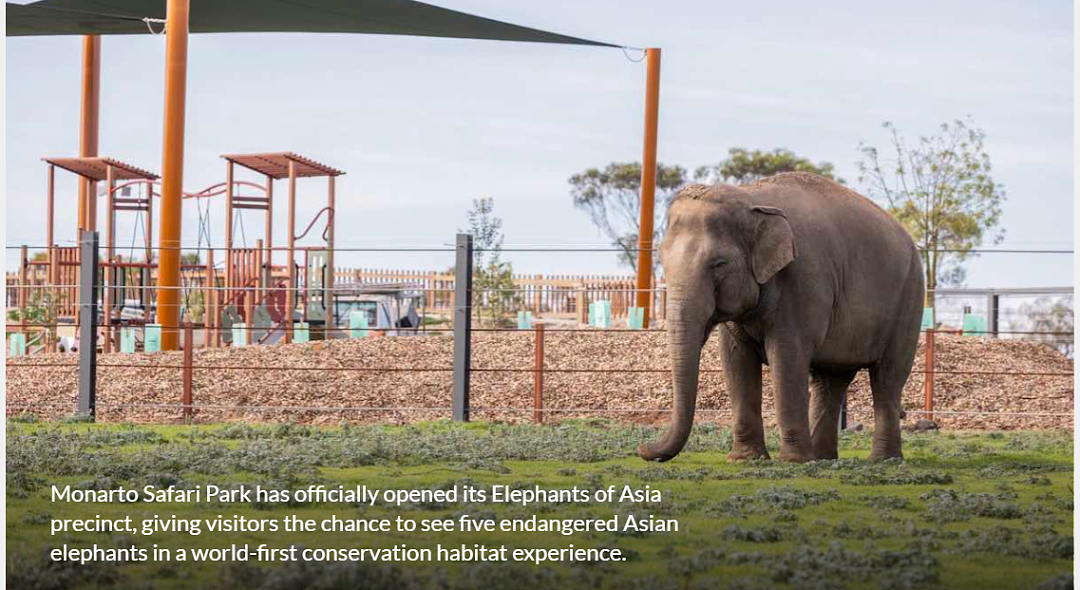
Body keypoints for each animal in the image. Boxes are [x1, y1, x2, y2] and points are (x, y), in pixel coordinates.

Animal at [638, 172, 924, 463]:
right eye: (663, 262)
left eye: (718, 264)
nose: (642, 448)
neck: (751, 198)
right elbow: (735, 361)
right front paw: (746, 459)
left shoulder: (803, 280)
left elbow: (787, 357)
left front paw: (792, 461)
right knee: (830, 381)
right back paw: (822, 458)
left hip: (909, 300)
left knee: (887, 378)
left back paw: (883, 459)